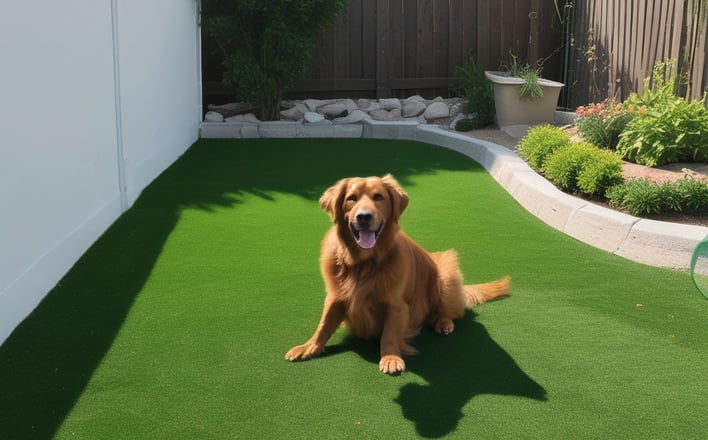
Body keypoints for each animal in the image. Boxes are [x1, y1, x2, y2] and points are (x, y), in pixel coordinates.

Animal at [284, 174, 512, 372]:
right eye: (351, 198)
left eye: (378, 197)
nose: (364, 217)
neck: (364, 263)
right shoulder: (335, 296)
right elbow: (323, 325)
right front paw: (309, 347)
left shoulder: (396, 306)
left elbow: (389, 333)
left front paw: (390, 358)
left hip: (447, 276)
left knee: (450, 312)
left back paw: (444, 324)